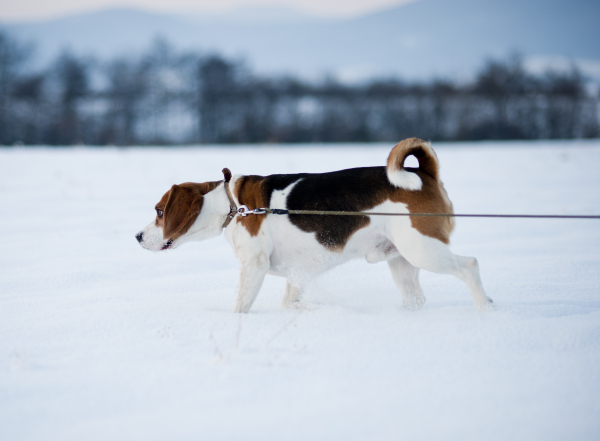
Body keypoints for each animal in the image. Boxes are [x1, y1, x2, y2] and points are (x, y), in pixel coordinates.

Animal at [137, 138, 492, 312]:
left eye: (159, 211)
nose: (138, 236)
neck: (232, 205)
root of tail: (424, 174)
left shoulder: (254, 265)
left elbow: (240, 306)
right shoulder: (298, 274)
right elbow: (289, 301)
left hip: (423, 249)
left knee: (470, 265)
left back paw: (485, 309)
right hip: (401, 261)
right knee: (416, 298)